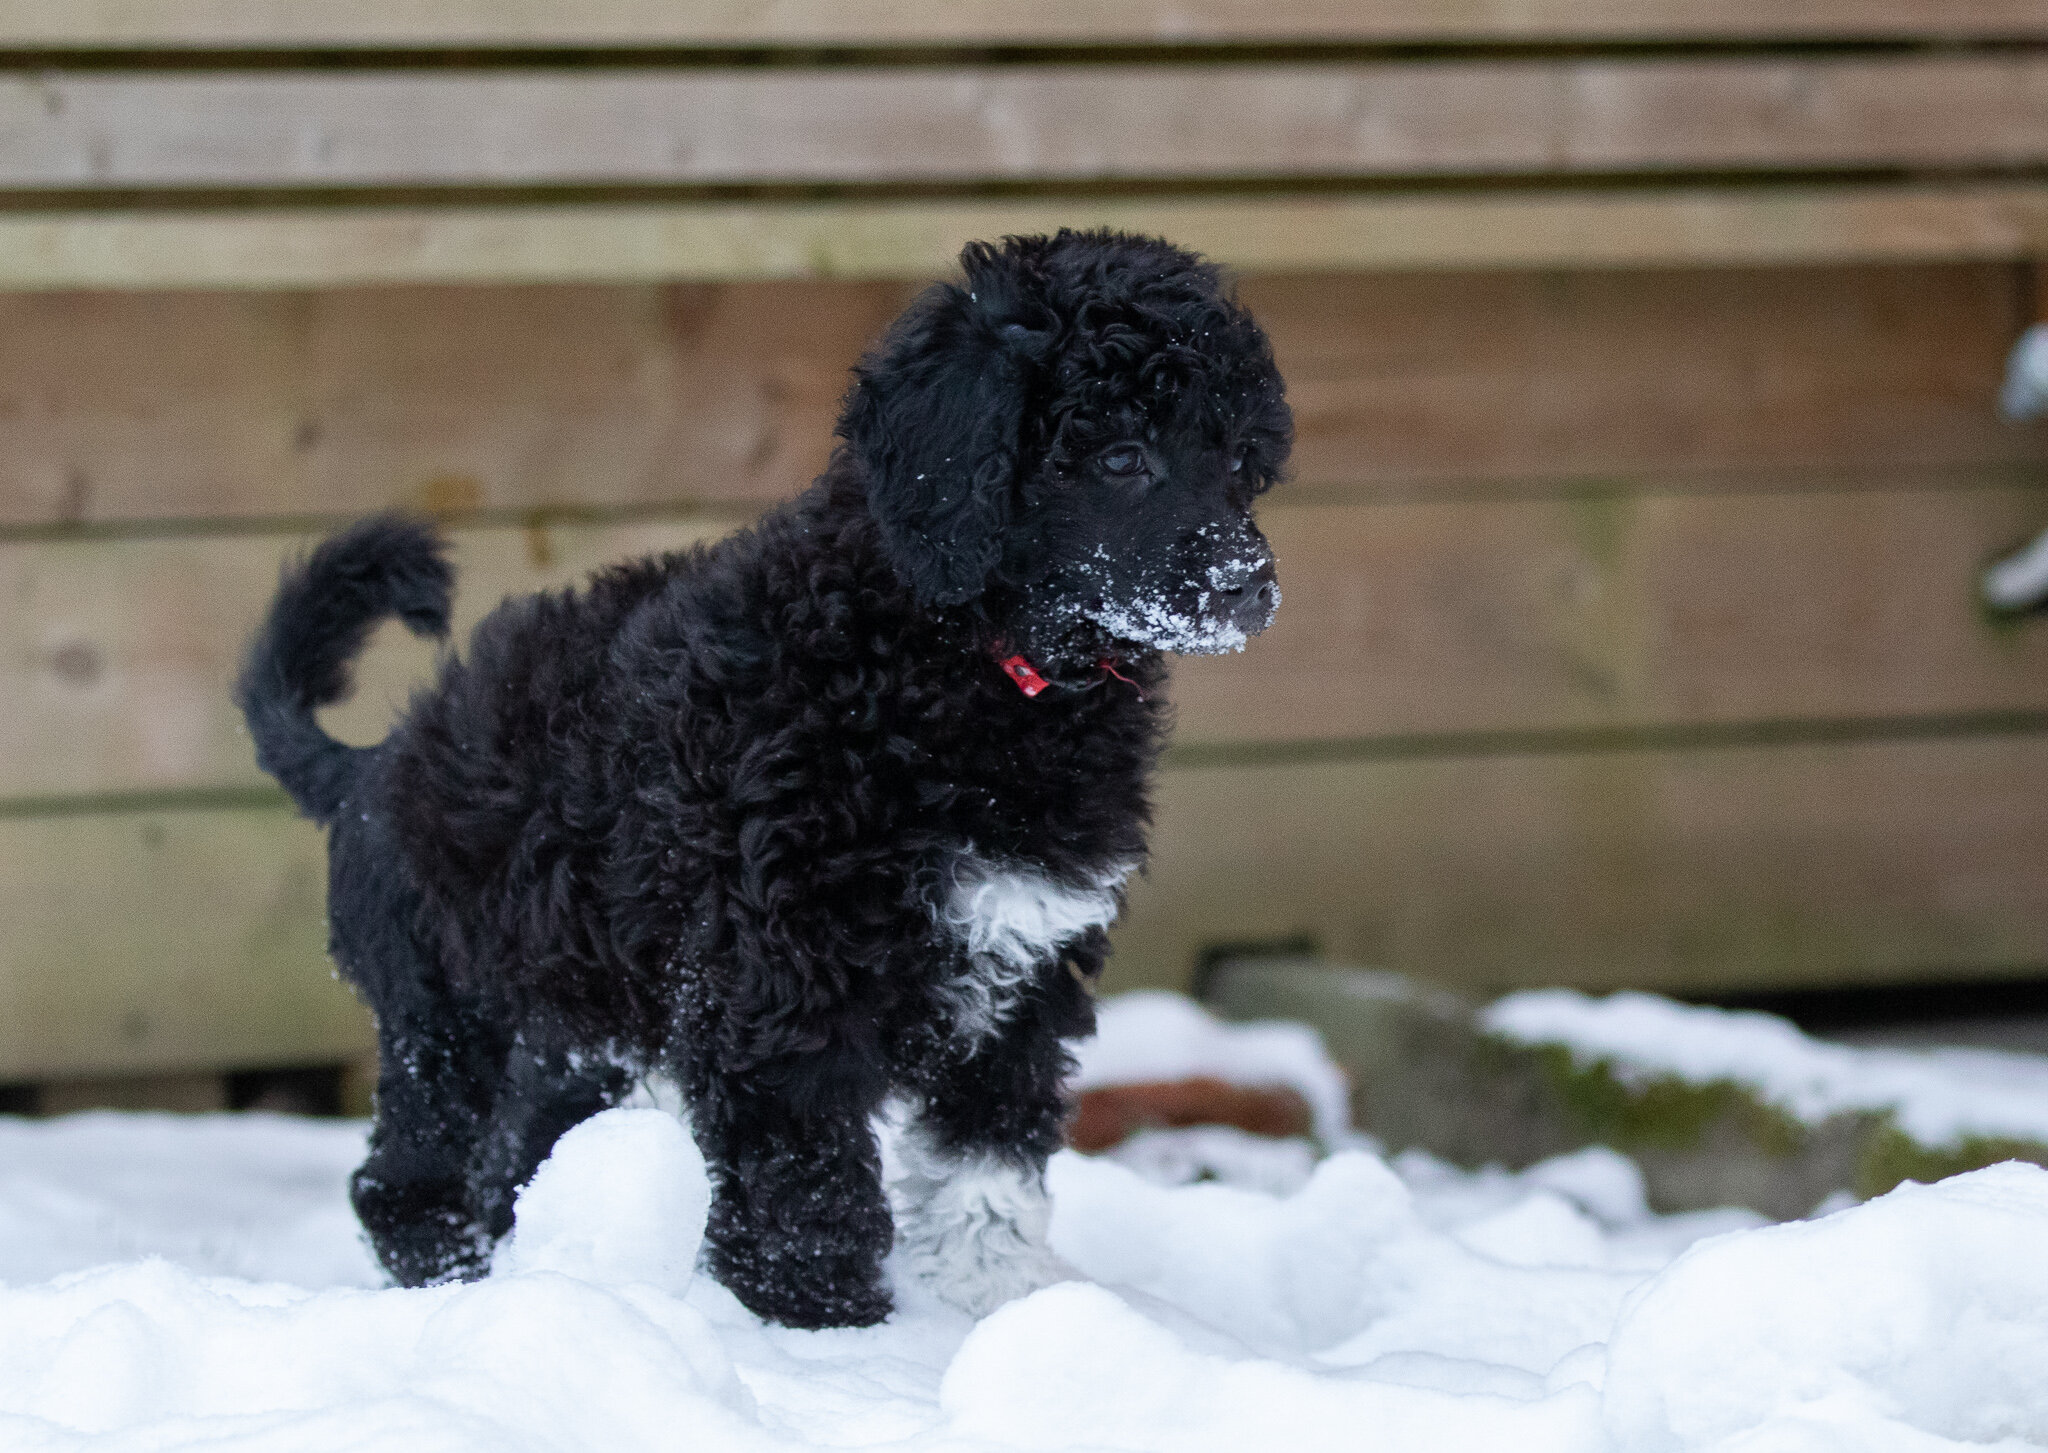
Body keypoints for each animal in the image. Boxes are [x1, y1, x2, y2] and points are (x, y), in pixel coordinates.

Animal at [239, 229, 1286, 1327]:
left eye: (1240, 462)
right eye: (1122, 457)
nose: (1248, 588)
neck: (965, 662)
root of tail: (369, 767)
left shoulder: (1021, 964)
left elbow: (987, 1163)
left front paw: (992, 1307)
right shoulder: (778, 976)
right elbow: (803, 1176)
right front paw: (824, 1326)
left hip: (575, 1021)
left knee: (517, 1152)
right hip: (446, 1010)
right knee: (406, 1178)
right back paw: (451, 1286)